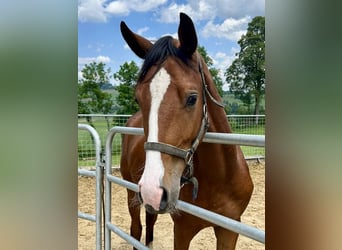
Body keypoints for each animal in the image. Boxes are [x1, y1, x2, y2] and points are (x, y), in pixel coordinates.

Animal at [119, 12, 252, 250]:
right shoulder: (182, 230)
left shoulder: (229, 230)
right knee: (136, 229)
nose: (153, 190)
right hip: (132, 192)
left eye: (192, 98)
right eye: (138, 98)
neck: (219, 179)